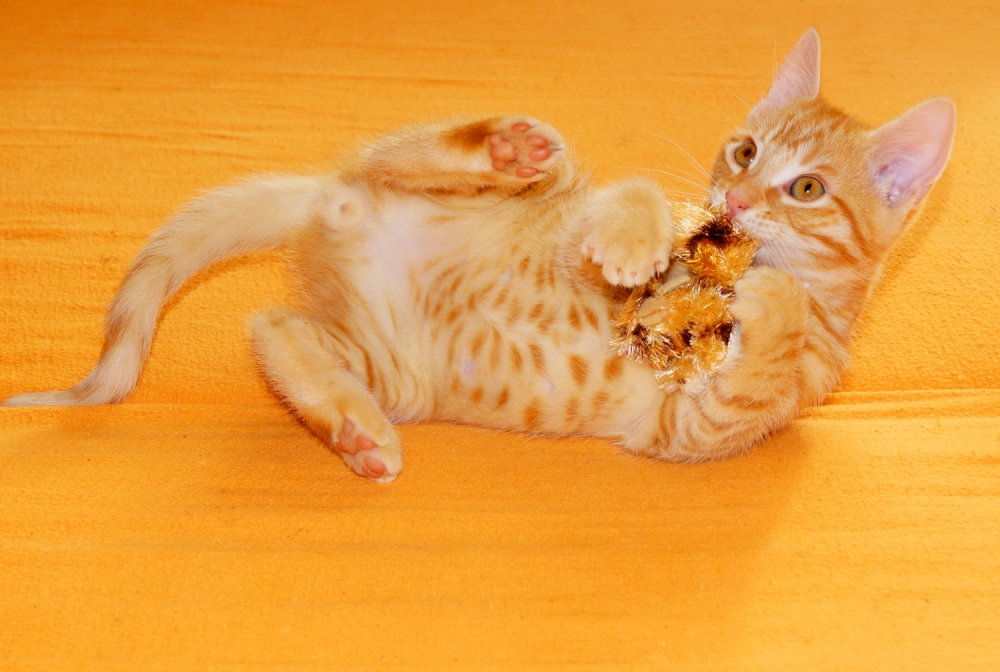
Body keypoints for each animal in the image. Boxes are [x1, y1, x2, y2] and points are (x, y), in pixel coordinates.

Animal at [3, 31, 956, 484]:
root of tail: (332, 203)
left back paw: (350, 426)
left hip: (391, 367)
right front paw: (638, 238)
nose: (736, 203)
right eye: (745, 151)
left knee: (273, 327)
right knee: (423, 159)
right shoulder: (577, 231)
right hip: (501, 192)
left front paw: (769, 304)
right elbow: (631, 201)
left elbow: (759, 366)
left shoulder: (696, 429)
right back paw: (502, 147)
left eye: (807, 189)